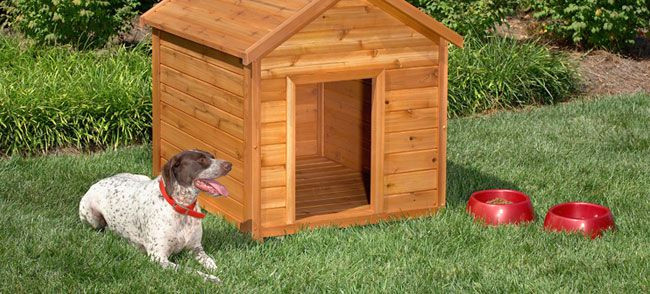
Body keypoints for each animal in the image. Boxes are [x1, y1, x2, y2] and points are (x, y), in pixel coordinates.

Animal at [79, 149, 230, 282]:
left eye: (212, 156)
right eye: (201, 160)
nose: (229, 165)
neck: (182, 208)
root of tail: (99, 181)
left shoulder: (196, 248)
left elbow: (211, 262)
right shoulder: (159, 257)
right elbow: (191, 270)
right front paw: (212, 278)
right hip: (91, 215)